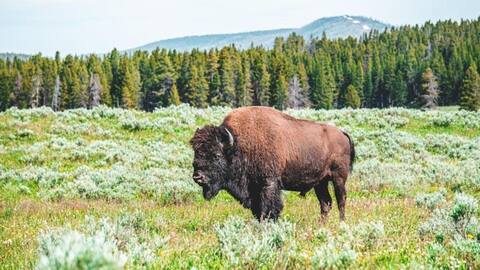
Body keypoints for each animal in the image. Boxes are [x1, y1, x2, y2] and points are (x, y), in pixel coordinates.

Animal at [189, 106, 354, 221]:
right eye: (196, 153)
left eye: (216, 155)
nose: (198, 177)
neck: (238, 144)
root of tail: (342, 133)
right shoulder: (254, 189)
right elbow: (258, 210)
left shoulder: (268, 184)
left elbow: (268, 208)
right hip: (321, 182)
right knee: (326, 203)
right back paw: (322, 225)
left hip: (338, 178)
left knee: (341, 200)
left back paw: (341, 223)